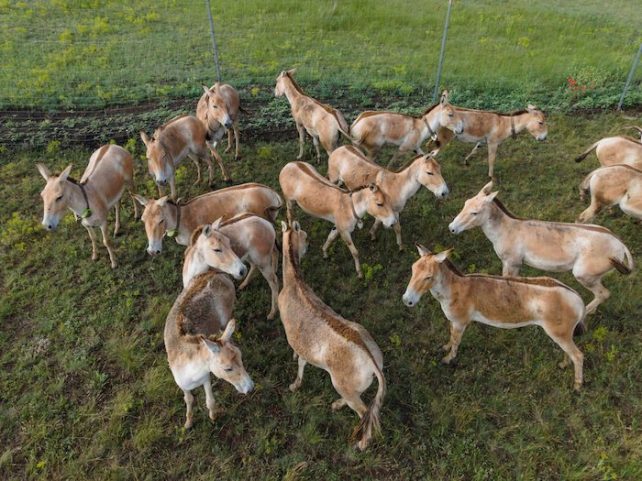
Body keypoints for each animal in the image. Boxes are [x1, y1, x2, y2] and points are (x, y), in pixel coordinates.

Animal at [278, 222, 382, 450]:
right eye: (305, 237)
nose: (309, 246)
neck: (294, 283)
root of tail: (372, 362)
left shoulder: (295, 339)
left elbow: (299, 361)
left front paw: (294, 385)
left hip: (345, 387)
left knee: (364, 413)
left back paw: (362, 445)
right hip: (349, 387)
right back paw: (336, 404)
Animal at [404, 246, 584, 388]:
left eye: (428, 276)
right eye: (412, 269)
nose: (407, 300)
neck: (454, 288)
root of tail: (578, 298)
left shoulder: (460, 322)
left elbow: (456, 341)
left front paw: (447, 359)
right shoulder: (453, 321)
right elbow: (451, 337)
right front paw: (445, 347)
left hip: (558, 333)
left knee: (578, 355)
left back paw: (577, 386)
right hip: (563, 334)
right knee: (569, 353)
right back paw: (563, 365)